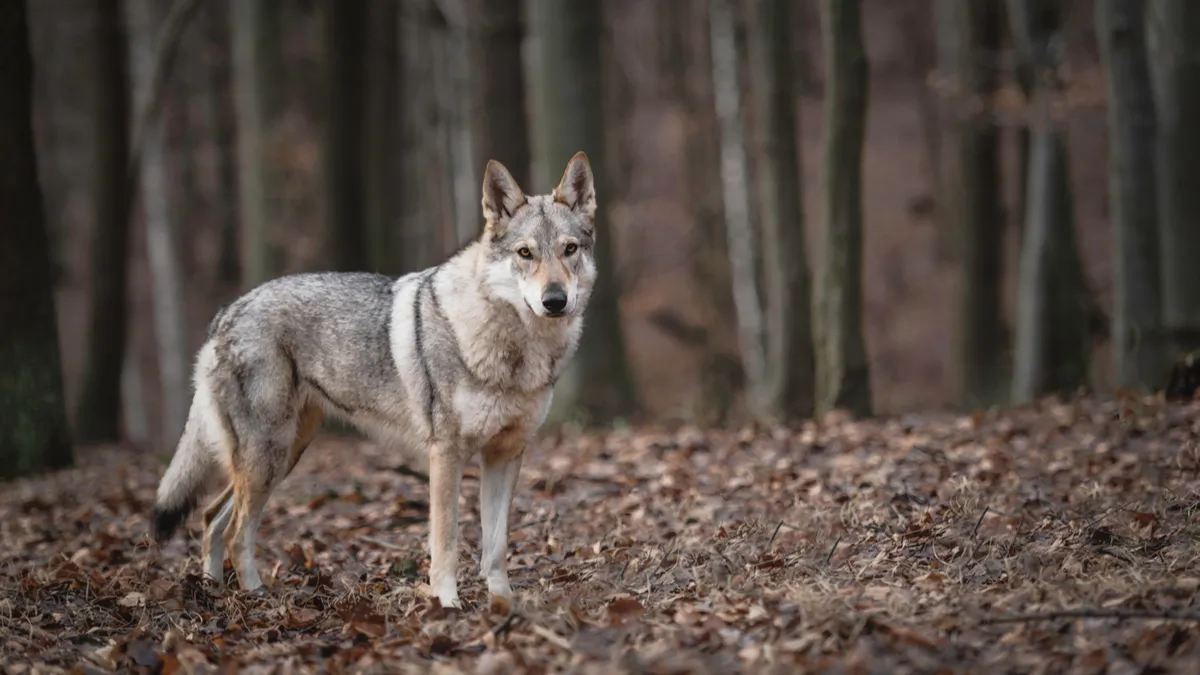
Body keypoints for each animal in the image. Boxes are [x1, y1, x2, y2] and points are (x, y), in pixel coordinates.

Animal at [151, 151, 600, 605]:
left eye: (569, 249)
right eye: (525, 253)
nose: (555, 300)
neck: (512, 348)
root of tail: (227, 312)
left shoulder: (505, 455)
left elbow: (496, 546)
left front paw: (503, 604)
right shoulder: (446, 455)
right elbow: (446, 542)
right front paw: (447, 604)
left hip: (282, 455)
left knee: (211, 517)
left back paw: (212, 592)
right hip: (268, 457)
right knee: (235, 531)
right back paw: (256, 596)